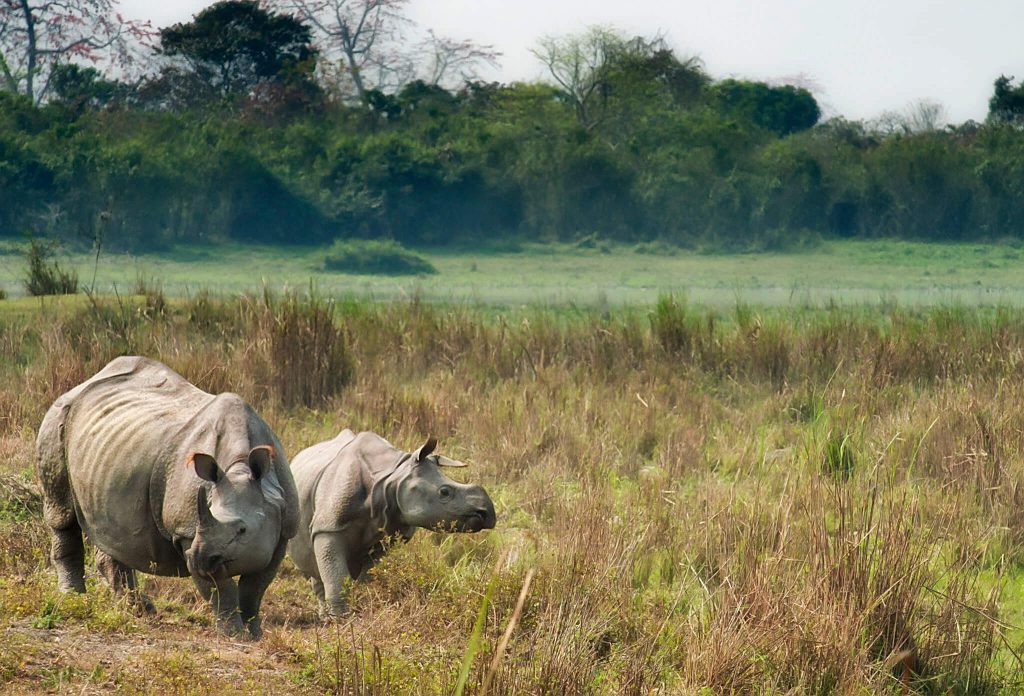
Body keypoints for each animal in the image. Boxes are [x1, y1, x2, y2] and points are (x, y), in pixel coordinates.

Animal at [36, 356, 299, 638]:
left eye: (242, 530)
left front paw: (255, 634)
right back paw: (74, 598)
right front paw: (232, 635)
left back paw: (136, 608)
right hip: (57, 416)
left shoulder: (283, 528)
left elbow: (254, 589)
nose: (197, 559)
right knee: (62, 512)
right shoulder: (187, 532)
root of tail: (84, 383)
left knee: (110, 532)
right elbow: (222, 590)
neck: (240, 467)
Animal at [288, 431, 495, 618]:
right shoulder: (329, 527)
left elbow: (367, 572)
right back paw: (326, 619)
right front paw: (341, 619)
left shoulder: (390, 533)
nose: (487, 514)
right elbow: (335, 574)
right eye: (444, 492)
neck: (393, 476)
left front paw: (363, 603)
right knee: (313, 566)